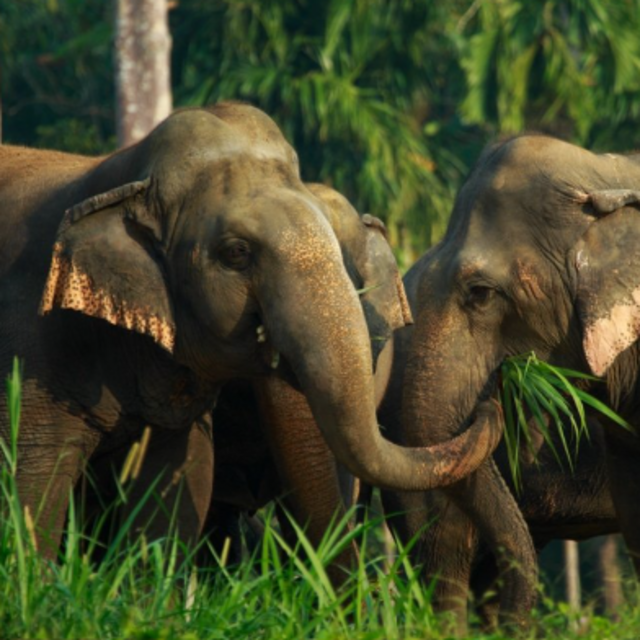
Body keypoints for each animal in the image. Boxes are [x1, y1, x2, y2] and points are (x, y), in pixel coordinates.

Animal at [0, 102, 503, 557]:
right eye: (237, 253)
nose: (489, 405)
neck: (122, 175)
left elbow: (177, 485)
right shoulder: (34, 346)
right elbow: (30, 480)